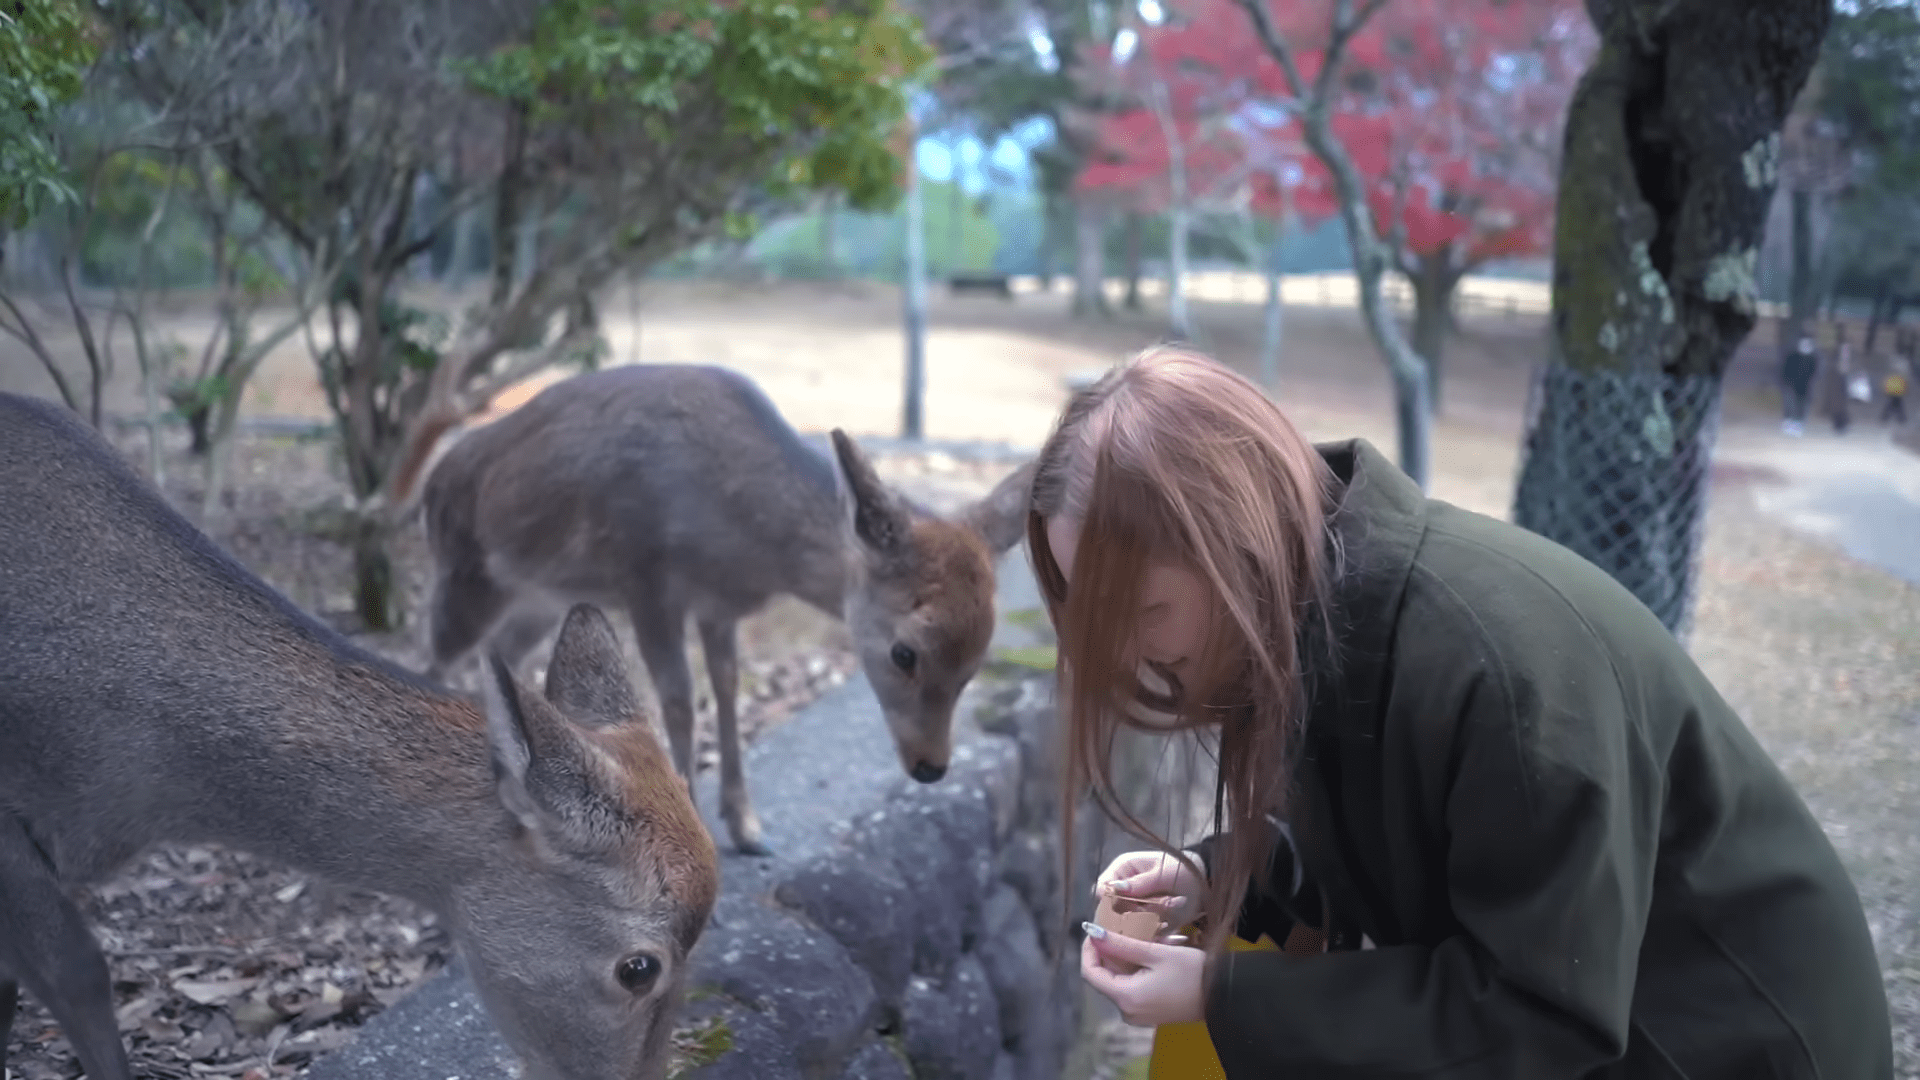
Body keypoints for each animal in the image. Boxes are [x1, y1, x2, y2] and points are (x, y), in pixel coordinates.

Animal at [398, 363, 1035, 857]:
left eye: (978, 659)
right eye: (905, 651)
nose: (931, 766)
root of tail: (428, 489)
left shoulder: (719, 604)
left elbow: (725, 687)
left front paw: (748, 827)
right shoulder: (646, 578)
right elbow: (679, 700)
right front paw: (699, 828)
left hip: (537, 601)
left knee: (494, 660)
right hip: (463, 579)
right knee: (429, 660)